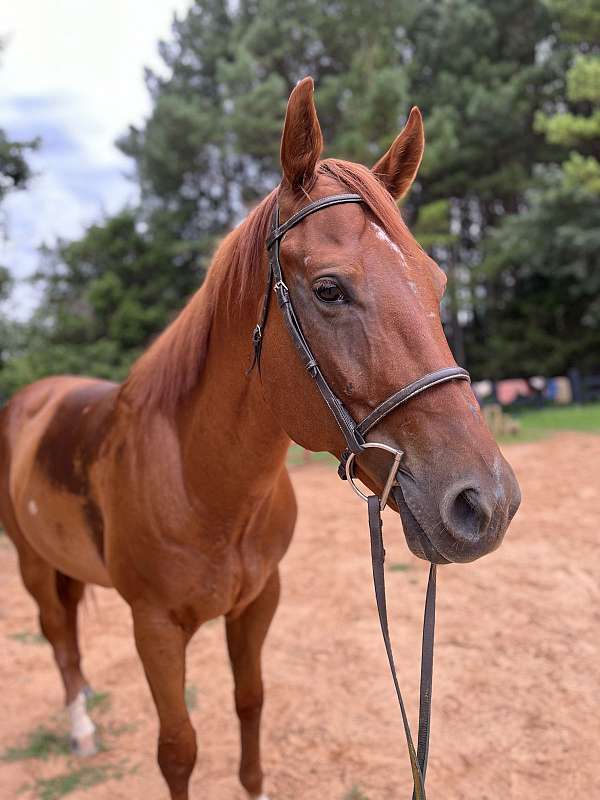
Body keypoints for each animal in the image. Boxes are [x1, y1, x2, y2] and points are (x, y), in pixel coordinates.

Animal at [0, 76, 520, 800]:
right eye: (328, 289)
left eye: (437, 282)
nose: (486, 502)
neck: (202, 485)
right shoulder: (153, 627)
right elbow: (179, 749)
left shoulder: (257, 605)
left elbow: (251, 706)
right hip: (30, 563)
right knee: (58, 636)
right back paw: (80, 730)